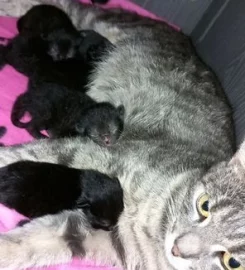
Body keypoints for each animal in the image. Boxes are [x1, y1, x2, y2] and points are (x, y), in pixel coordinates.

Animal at [0, 0, 242, 270]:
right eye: (205, 206)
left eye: (232, 262)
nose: (178, 248)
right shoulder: (91, 150)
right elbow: (23, 152)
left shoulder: (97, 232)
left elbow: (29, 244)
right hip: (104, 22)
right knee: (72, 7)